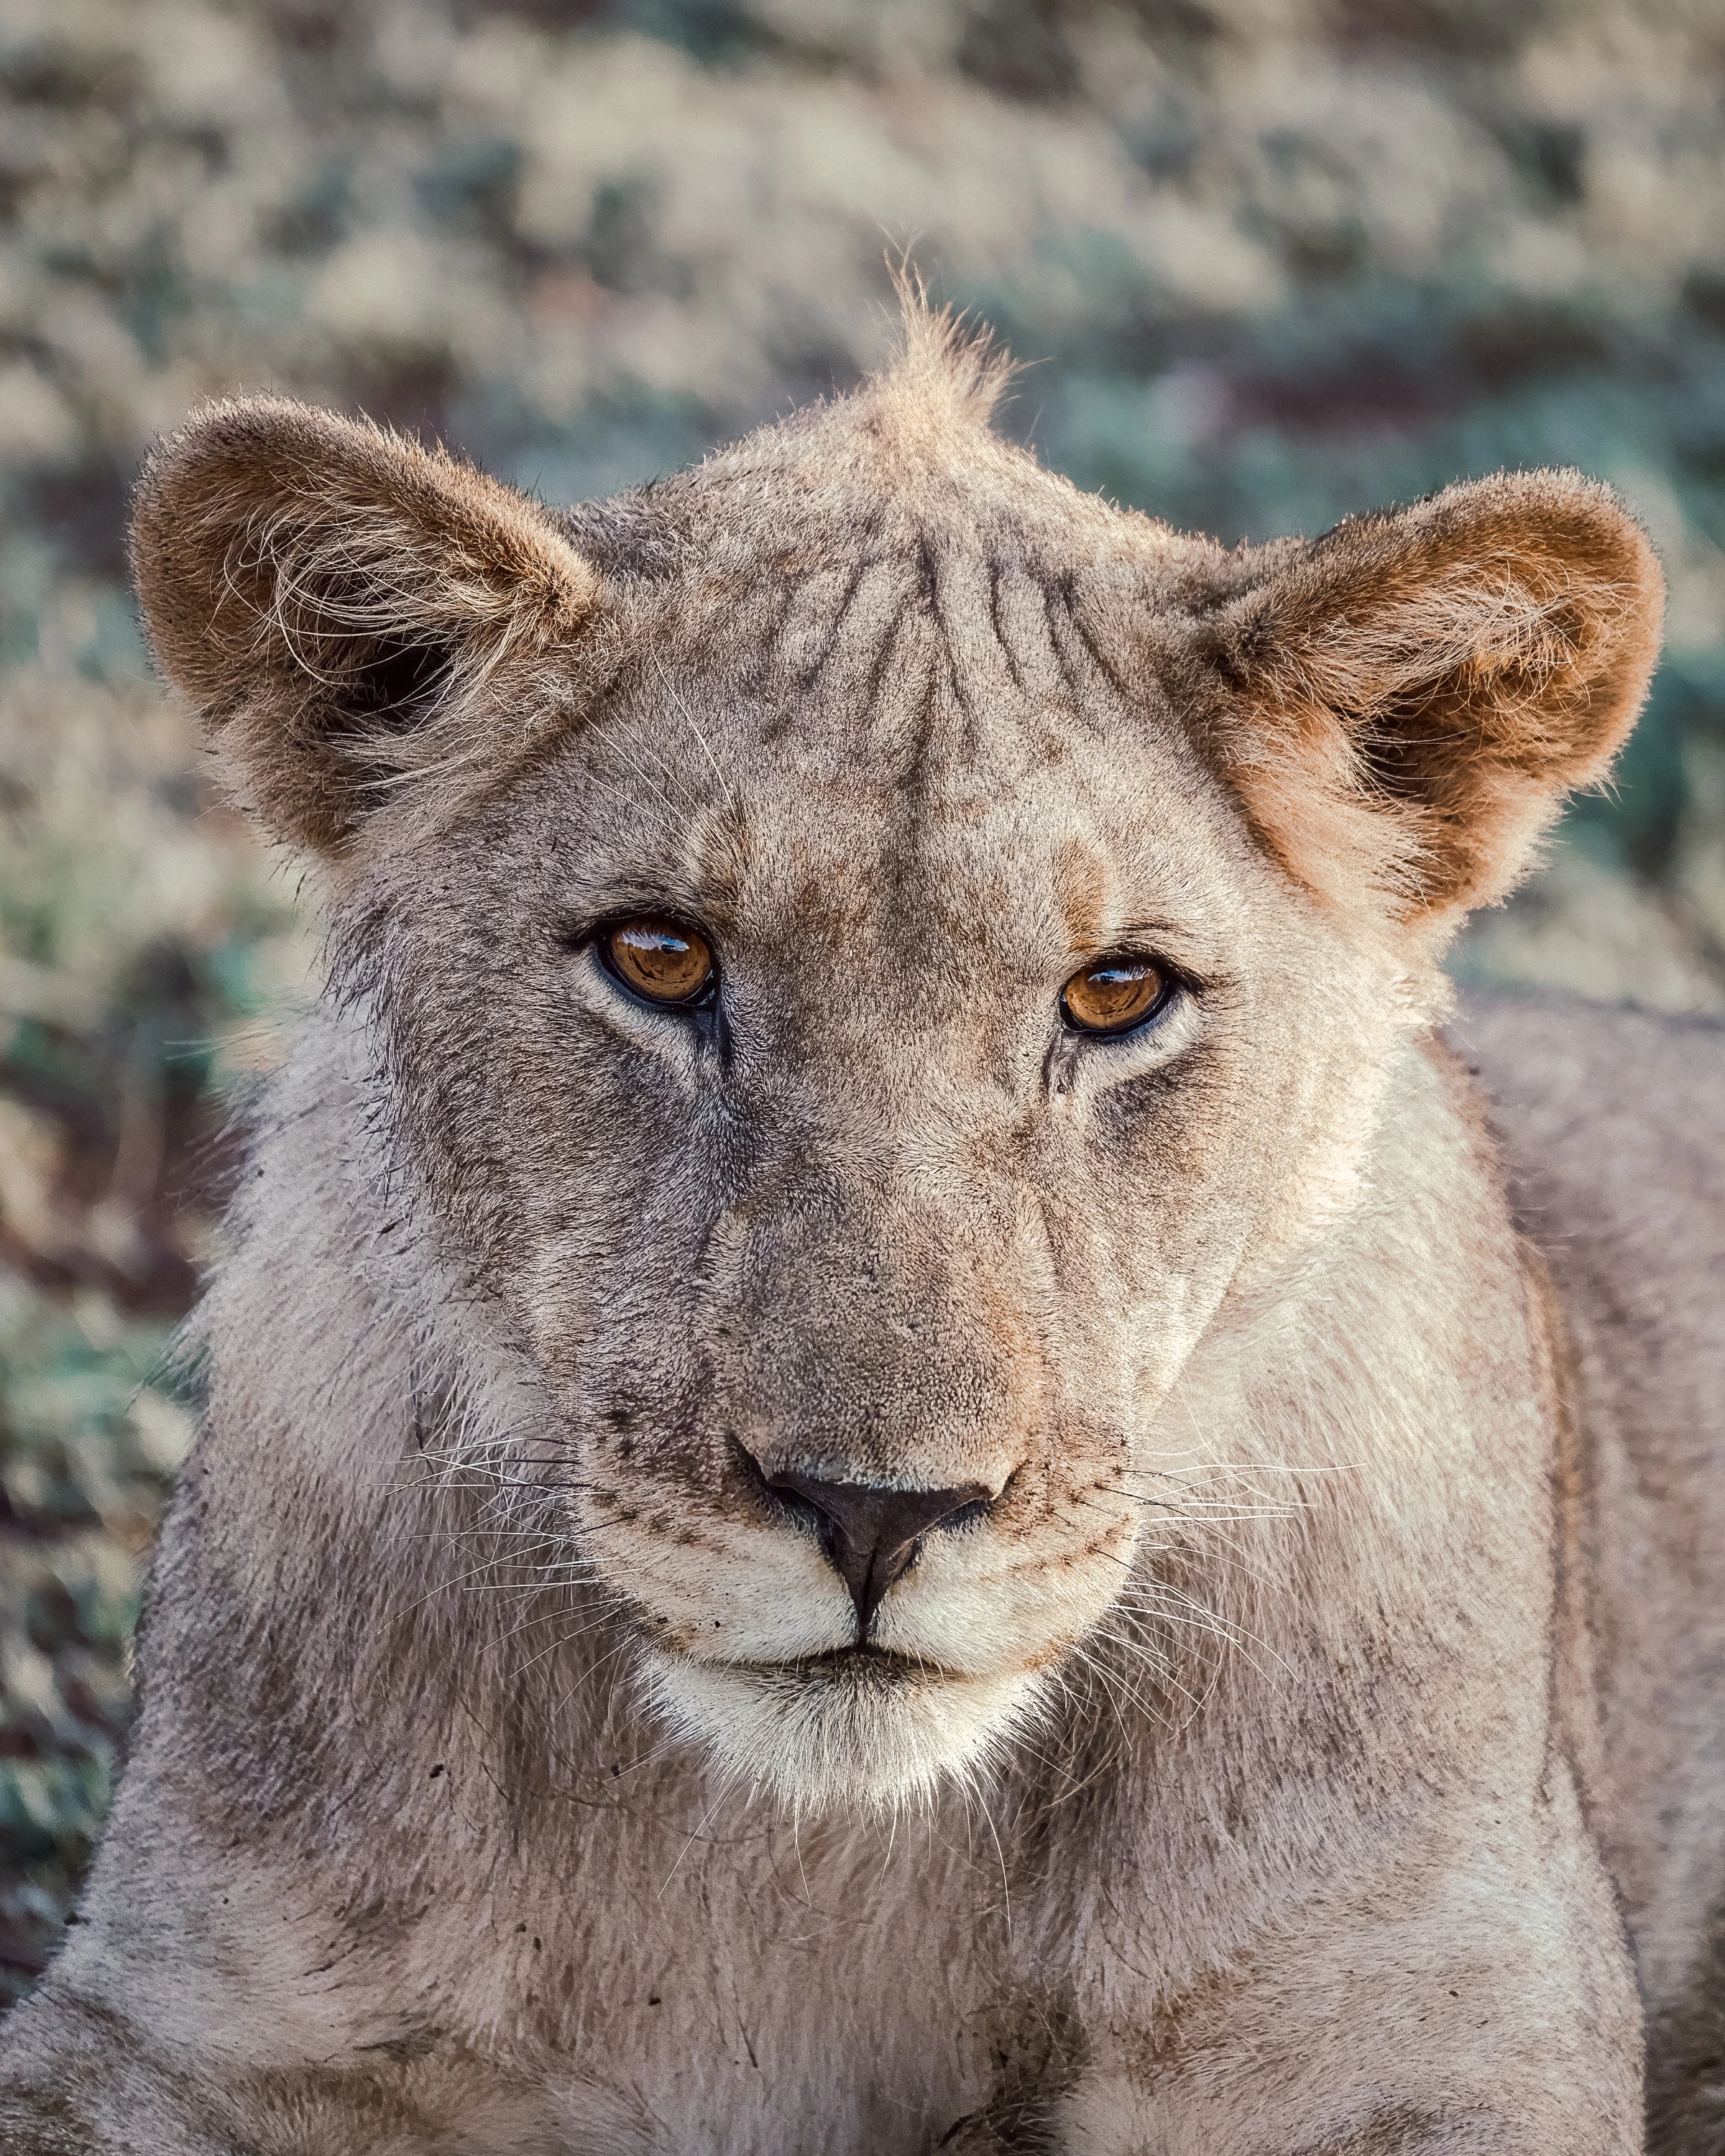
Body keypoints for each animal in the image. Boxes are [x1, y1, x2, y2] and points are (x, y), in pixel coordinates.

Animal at [1, 301, 1719, 2155]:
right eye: (660, 957)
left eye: (1117, 994)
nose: (876, 1516)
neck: (820, 1862)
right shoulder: (187, 2012)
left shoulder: (1417, 2030)